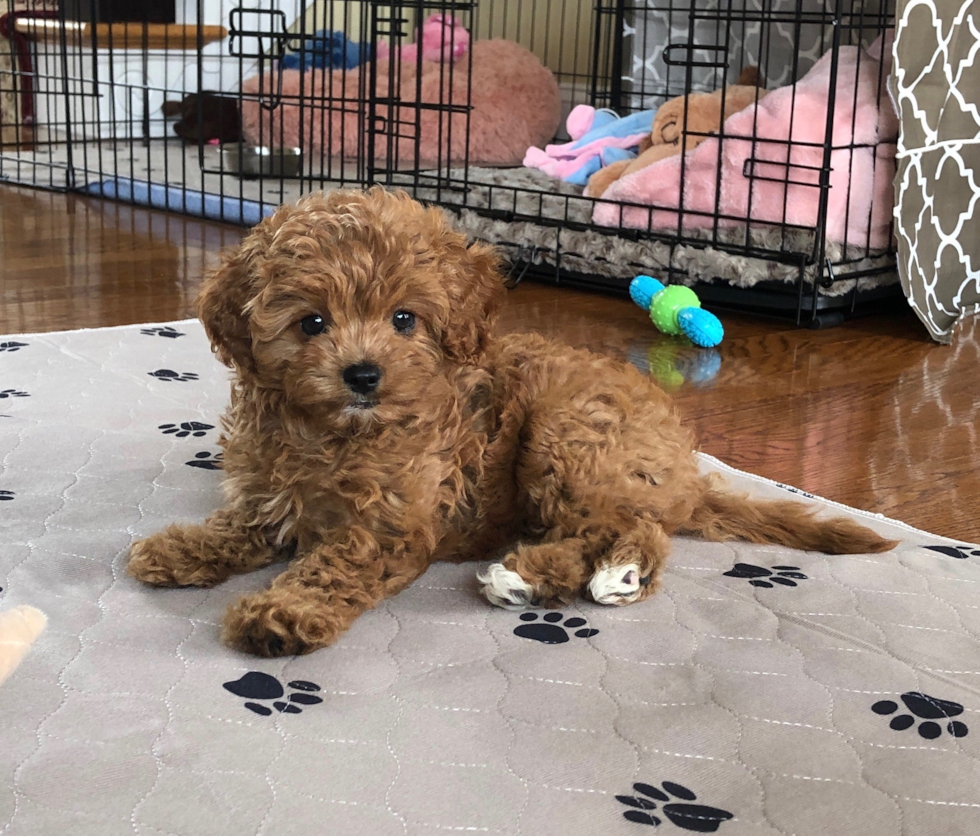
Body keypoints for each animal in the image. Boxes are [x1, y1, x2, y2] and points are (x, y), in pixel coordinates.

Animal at [126, 186, 900, 656]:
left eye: (404, 320)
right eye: (311, 323)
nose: (363, 375)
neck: (330, 433)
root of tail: (684, 472)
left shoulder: (387, 527)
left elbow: (331, 566)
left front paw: (281, 615)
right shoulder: (269, 493)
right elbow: (238, 526)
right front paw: (181, 547)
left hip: (571, 437)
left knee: (629, 530)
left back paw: (605, 573)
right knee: (585, 533)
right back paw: (527, 576)